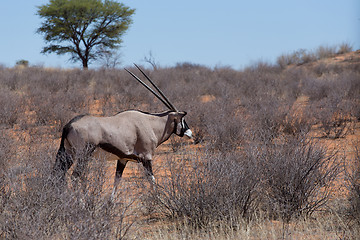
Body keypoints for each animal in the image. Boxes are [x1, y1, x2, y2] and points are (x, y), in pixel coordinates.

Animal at [53, 63, 193, 191]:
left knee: (59, 175)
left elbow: (117, 181)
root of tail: (68, 125)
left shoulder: (123, 159)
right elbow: (152, 180)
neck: (151, 123)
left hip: (68, 154)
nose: (190, 133)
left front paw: (110, 202)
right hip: (83, 155)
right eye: (182, 119)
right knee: (75, 177)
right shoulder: (146, 158)